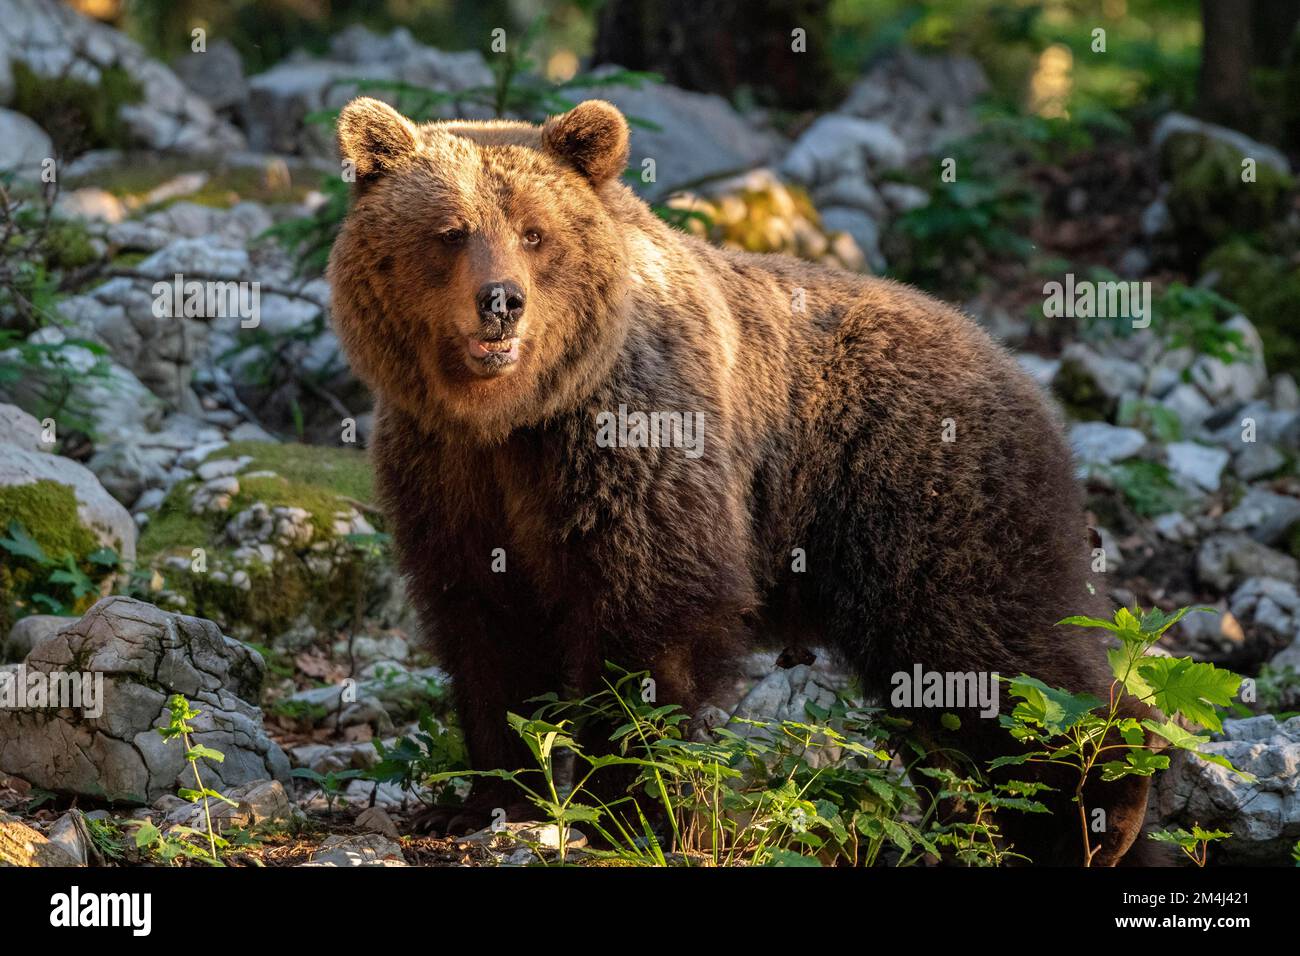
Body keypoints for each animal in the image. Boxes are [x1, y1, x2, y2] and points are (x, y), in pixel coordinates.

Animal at [327, 96, 1153, 865]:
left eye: (535, 232)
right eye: (452, 230)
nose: (501, 301)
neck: (515, 417)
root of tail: (1015, 365)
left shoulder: (631, 444)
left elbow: (649, 620)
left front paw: (628, 810)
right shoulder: (448, 474)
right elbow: (487, 630)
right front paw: (485, 800)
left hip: (922, 494)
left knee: (994, 655)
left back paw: (1104, 809)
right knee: (945, 707)